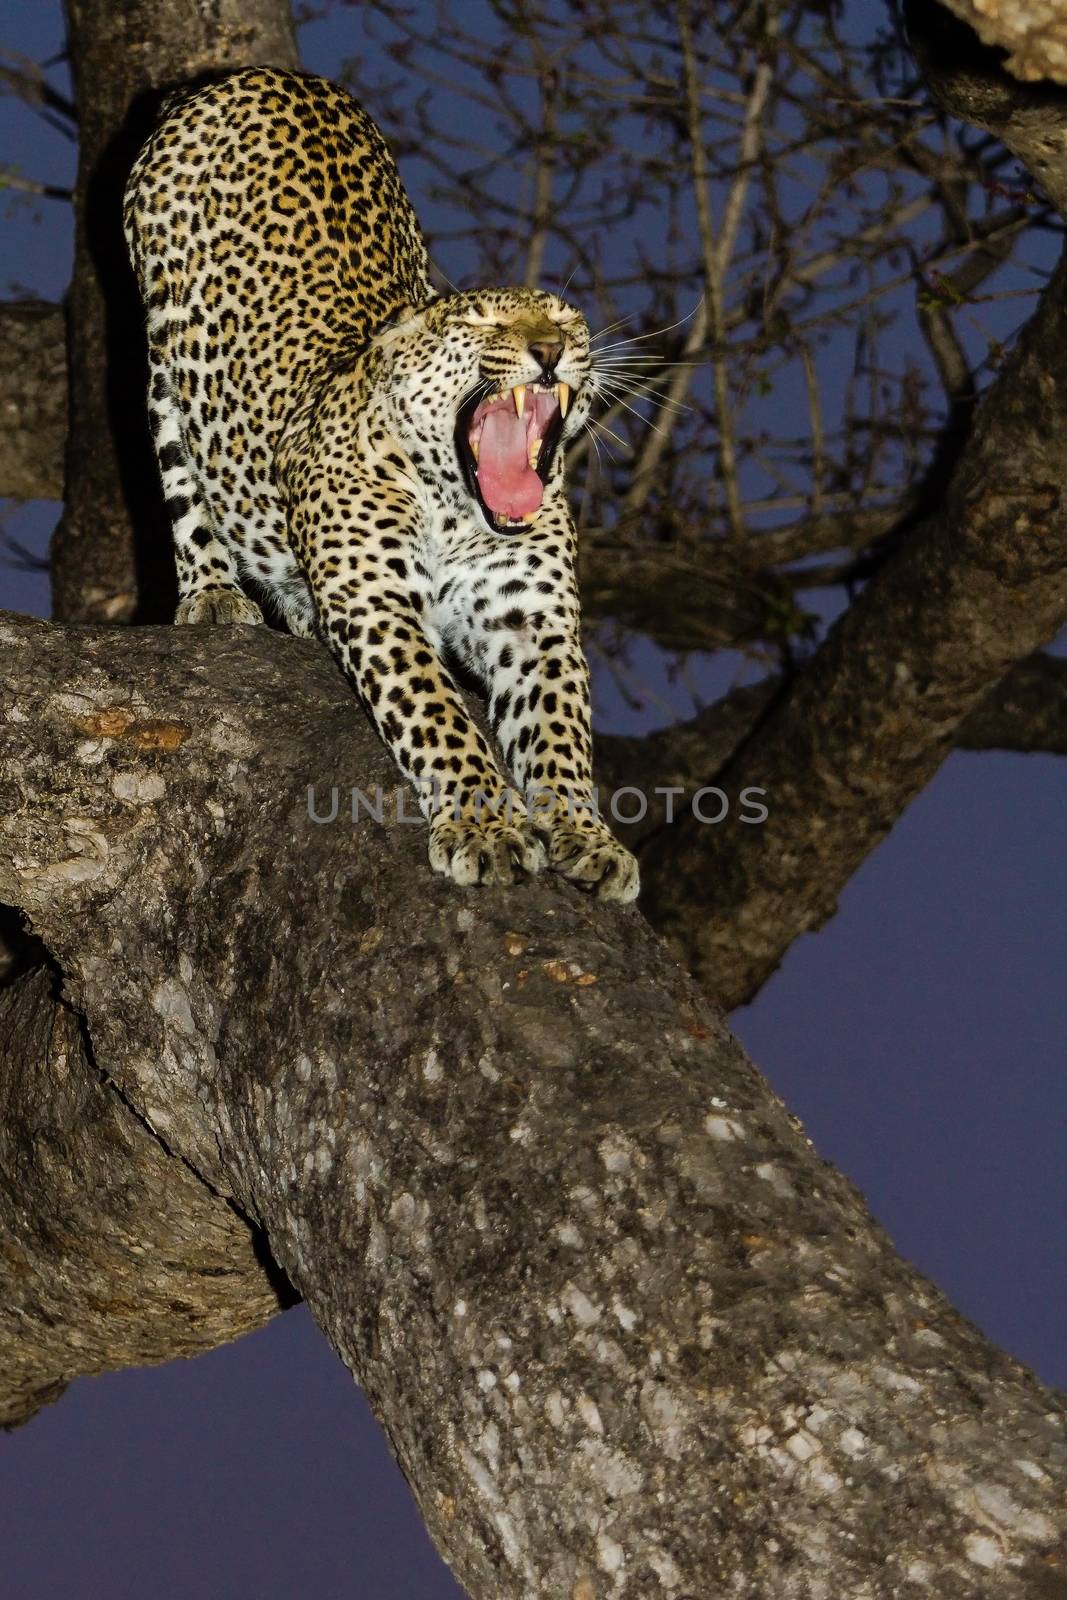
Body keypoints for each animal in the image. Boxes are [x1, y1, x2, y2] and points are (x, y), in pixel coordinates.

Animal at [125, 65, 643, 902]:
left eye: (570, 322)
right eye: (488, 324)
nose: (551, 350)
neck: (460, 506)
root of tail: (257, 74)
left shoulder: (534, 623)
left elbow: (561, 735)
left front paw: (585, 835)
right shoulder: (379, 602)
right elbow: (439, 716)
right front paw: (486, 827)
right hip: (166, 351)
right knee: (181, 471)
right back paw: (214, 593)